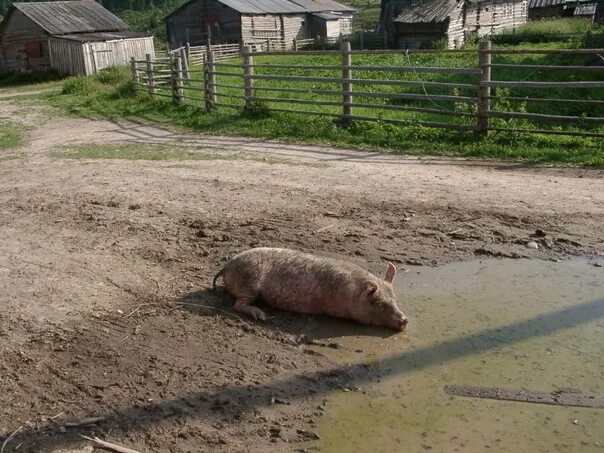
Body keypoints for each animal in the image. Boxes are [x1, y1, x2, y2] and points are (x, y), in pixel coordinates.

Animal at [211, 247, 406, 328]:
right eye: (379, 303)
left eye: (394, 299)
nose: (405, 320)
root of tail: (227, 266)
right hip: (249, 282)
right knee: (238, 304)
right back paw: (261, 315)